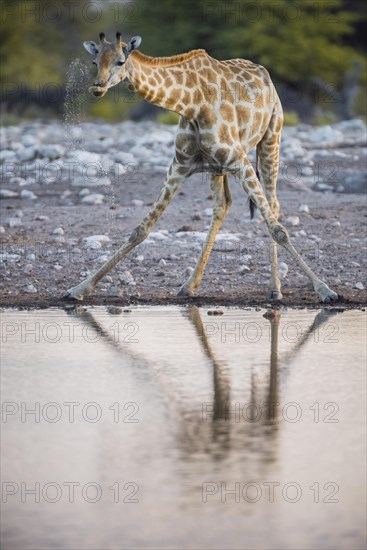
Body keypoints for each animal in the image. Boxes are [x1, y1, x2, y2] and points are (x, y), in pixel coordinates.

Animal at [64, 32, 338, 304]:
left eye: (120, 61)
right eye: (95, 62)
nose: (97, 86)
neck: (190, 104)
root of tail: (265, 75)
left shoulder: (238, 159)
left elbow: (278, 230)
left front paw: (326, 290)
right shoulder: (180, 165)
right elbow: (141, 230)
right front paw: (79, 288)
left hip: (271, 138)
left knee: (272, 204)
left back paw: (274, 288)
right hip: (217, 168)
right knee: (223, 205)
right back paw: (190, 285)